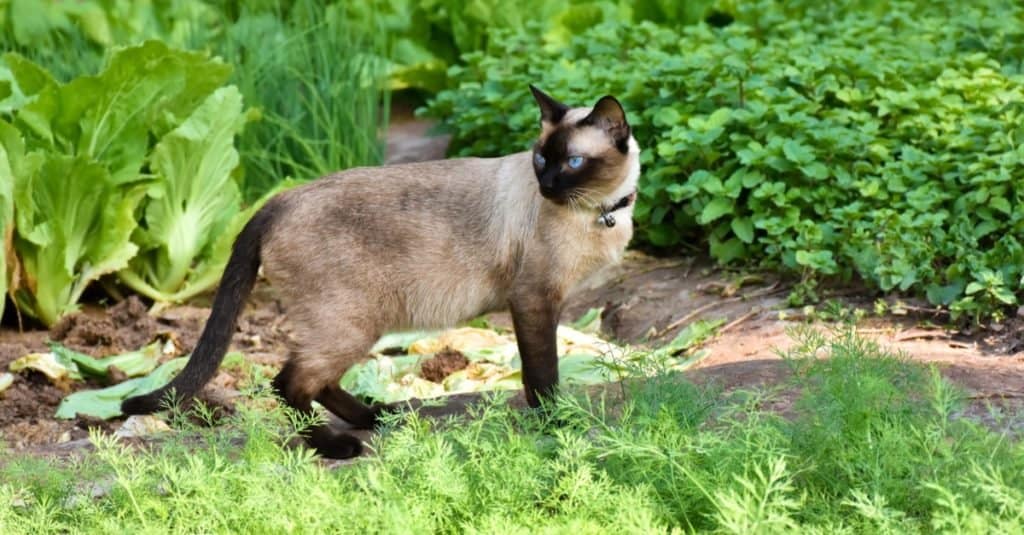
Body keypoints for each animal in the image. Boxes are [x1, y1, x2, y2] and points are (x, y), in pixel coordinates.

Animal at [121, 85, 638, 455]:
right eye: (541, 158)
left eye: (572, 162)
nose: (546, 185)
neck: (601, 213)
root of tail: (280, 198)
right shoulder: (534, 301)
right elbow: (542, 376)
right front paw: (557, 425)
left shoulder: (540, 303)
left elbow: (536, 375)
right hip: (352, 324)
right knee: (289, 382)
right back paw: (337, 446)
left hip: (357, 322)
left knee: (319, 381)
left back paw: (376, 416)